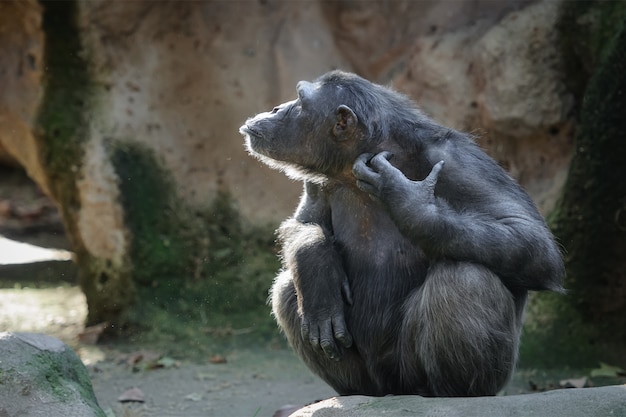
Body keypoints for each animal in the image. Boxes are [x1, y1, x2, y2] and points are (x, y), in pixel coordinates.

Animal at [238, 70, 560, 394]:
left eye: (300, 101)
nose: (277, 108)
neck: (370, 153)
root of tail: (395, 387)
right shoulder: (318, 181)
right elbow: (304, 223)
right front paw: (317, 266)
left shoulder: (459, 161)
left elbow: (529, 236)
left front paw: (406, 200)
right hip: (374, 376)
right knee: (286, 288)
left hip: (422, 370)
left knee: (466, 278)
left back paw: (455, 393)